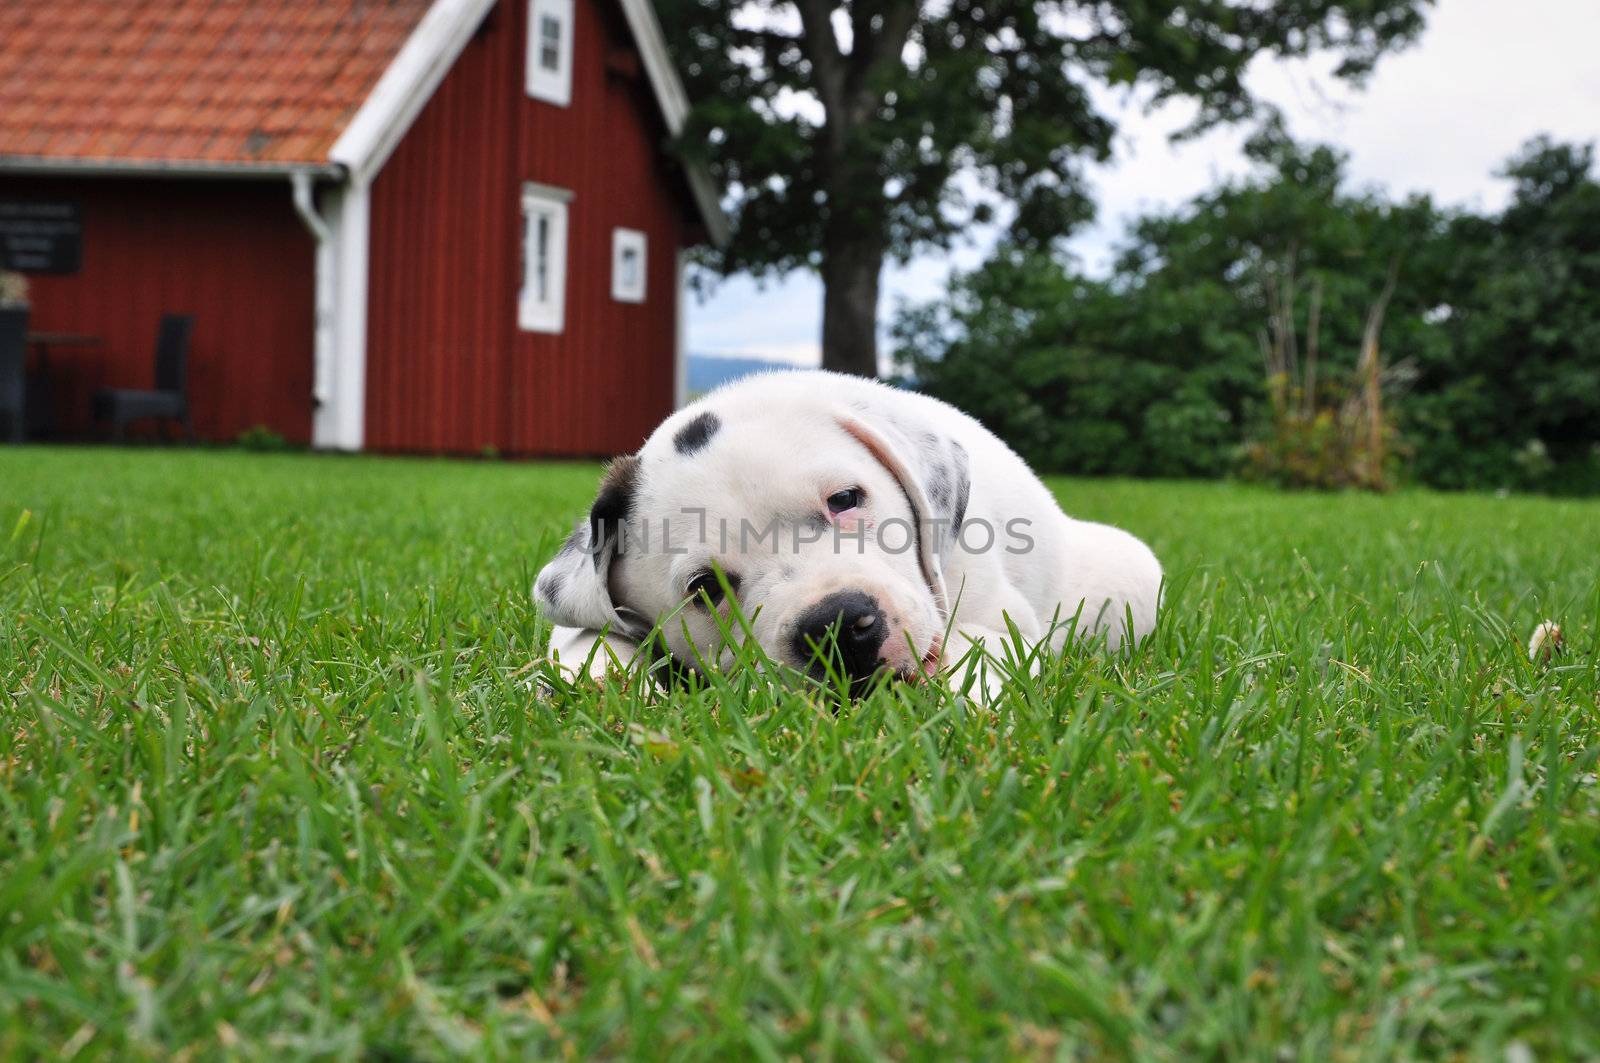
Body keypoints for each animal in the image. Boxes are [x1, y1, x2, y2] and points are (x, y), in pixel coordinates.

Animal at [537, 369, 1164, 701]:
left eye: (844, 499)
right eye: (703, 589)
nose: (835, 628)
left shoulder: (1002, 619)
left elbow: (977, 644)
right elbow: (584, 634)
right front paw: (594, 678)